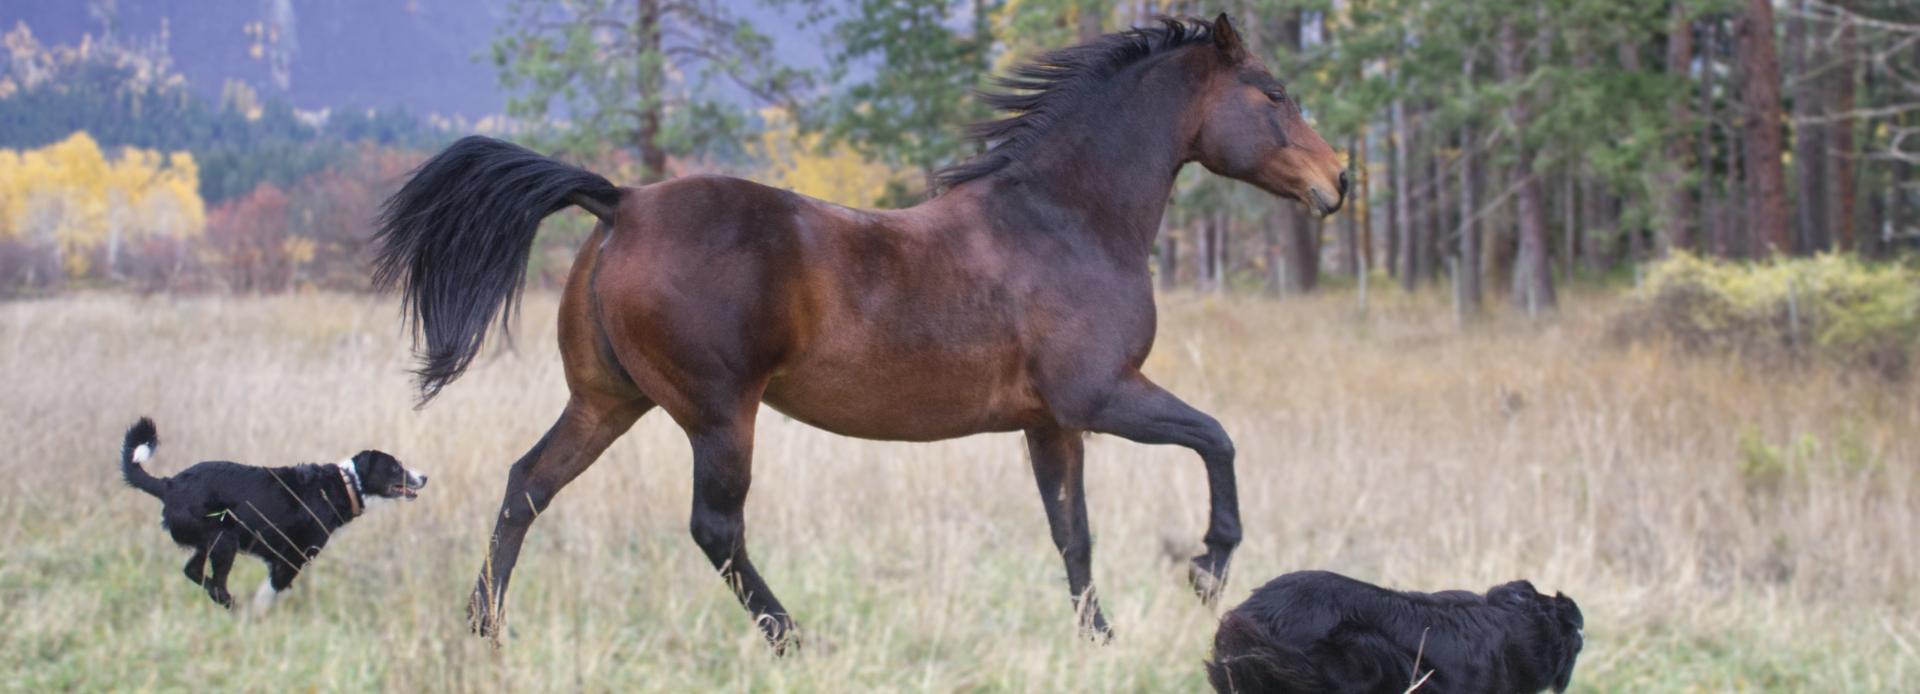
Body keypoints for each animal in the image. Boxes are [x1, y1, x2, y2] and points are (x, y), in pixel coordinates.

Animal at [375, 14, 1345, 652]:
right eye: (1274, 92)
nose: (1337, 181)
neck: (1065, 219)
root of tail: (622, 203)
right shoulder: (1103, 396)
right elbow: (1216, 440)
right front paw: (1207, 569)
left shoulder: (1051, 423)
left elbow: (1074, 534)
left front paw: (1098, 641)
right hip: (718, 415)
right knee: (714, 529)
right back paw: (796, 641)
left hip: (607, 402)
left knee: (527, 487)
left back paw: (484, 631)